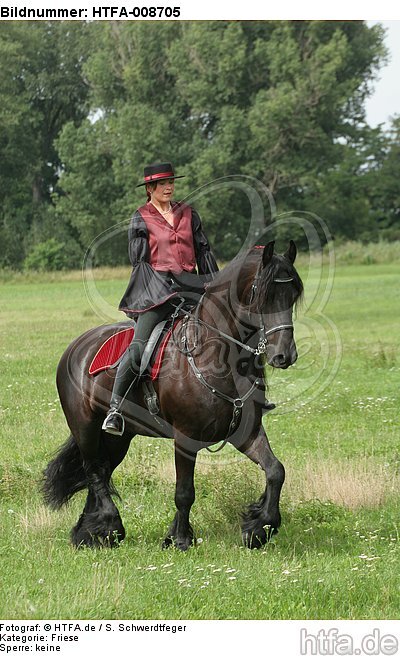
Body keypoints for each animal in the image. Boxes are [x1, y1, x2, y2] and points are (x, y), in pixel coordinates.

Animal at [42, 241, 304, 548]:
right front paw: (180, 539)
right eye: (264, 295)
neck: (214, 356)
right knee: (94, 472)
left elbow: (276, 471)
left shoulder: (245, 432)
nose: (284, 355)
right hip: (86, 427)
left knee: (101, 472)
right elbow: (184, 492)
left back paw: (90, 533)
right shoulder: (185, 437)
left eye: (293, 295)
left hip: (118, 439)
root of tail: (76, 346)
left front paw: (260, 527)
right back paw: (110, 525)